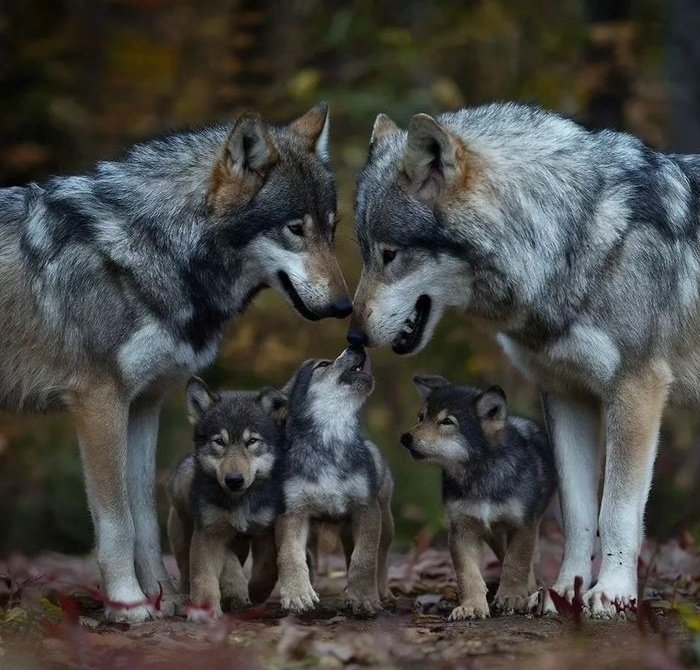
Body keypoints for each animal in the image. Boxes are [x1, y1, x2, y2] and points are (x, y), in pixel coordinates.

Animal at [0, 102, 350, 624]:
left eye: (331, 228)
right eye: (295, 228)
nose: (346, 307)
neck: (153, 251)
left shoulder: (146, 403)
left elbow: (145, 517)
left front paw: (165, 598)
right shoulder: (98, 402)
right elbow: (117, 519)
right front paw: (128, 604)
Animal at [348, 103, 696, 620]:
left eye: (391, 255)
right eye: (365, 253)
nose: (352, 336)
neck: (569, 238)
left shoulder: (636, 390)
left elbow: (615, 512)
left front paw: (611, 593)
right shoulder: (566, 394)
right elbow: (577, 513)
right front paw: (565, 591)